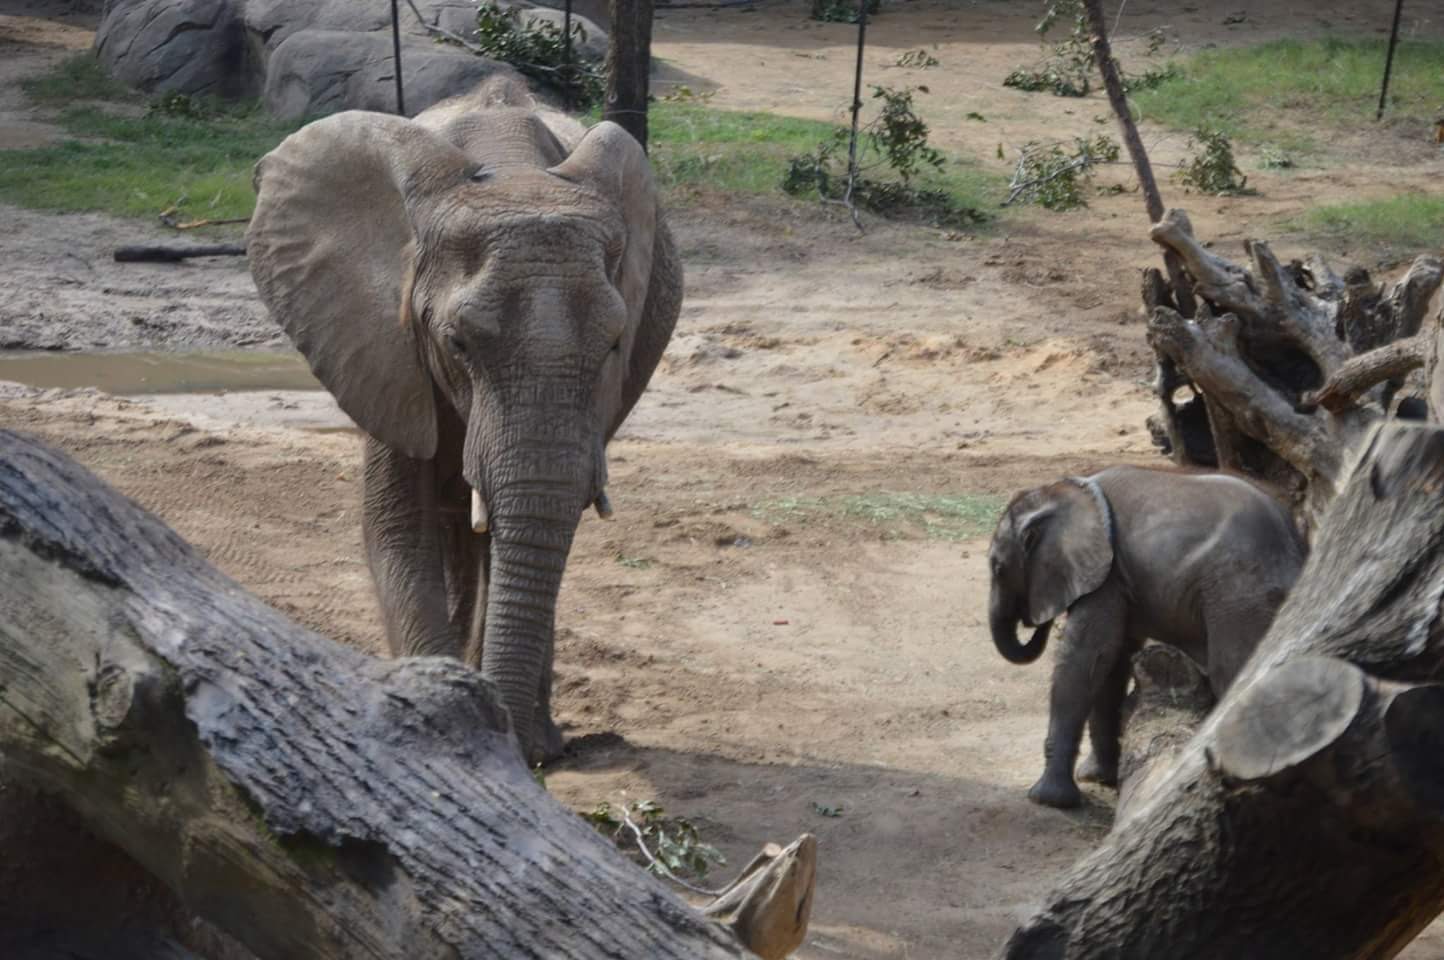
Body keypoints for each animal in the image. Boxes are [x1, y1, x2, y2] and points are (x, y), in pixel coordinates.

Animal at [246, 77, 682, 764]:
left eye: (615, 345)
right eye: (457, 344)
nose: (526, 755)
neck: (511, 172)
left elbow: (526, 533)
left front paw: (523, 739)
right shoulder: (382, 343)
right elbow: (399, 527)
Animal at [986, 465, 1305, 809]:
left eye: (999, 568)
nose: (1038, 621)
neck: (1061, 491)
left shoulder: (1107, 575)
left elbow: (1086, 655)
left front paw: (1048, 799)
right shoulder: (1117, 577)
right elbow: (1110, 663)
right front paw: (1097, 777)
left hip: (1239, 593)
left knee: (1231, 673)